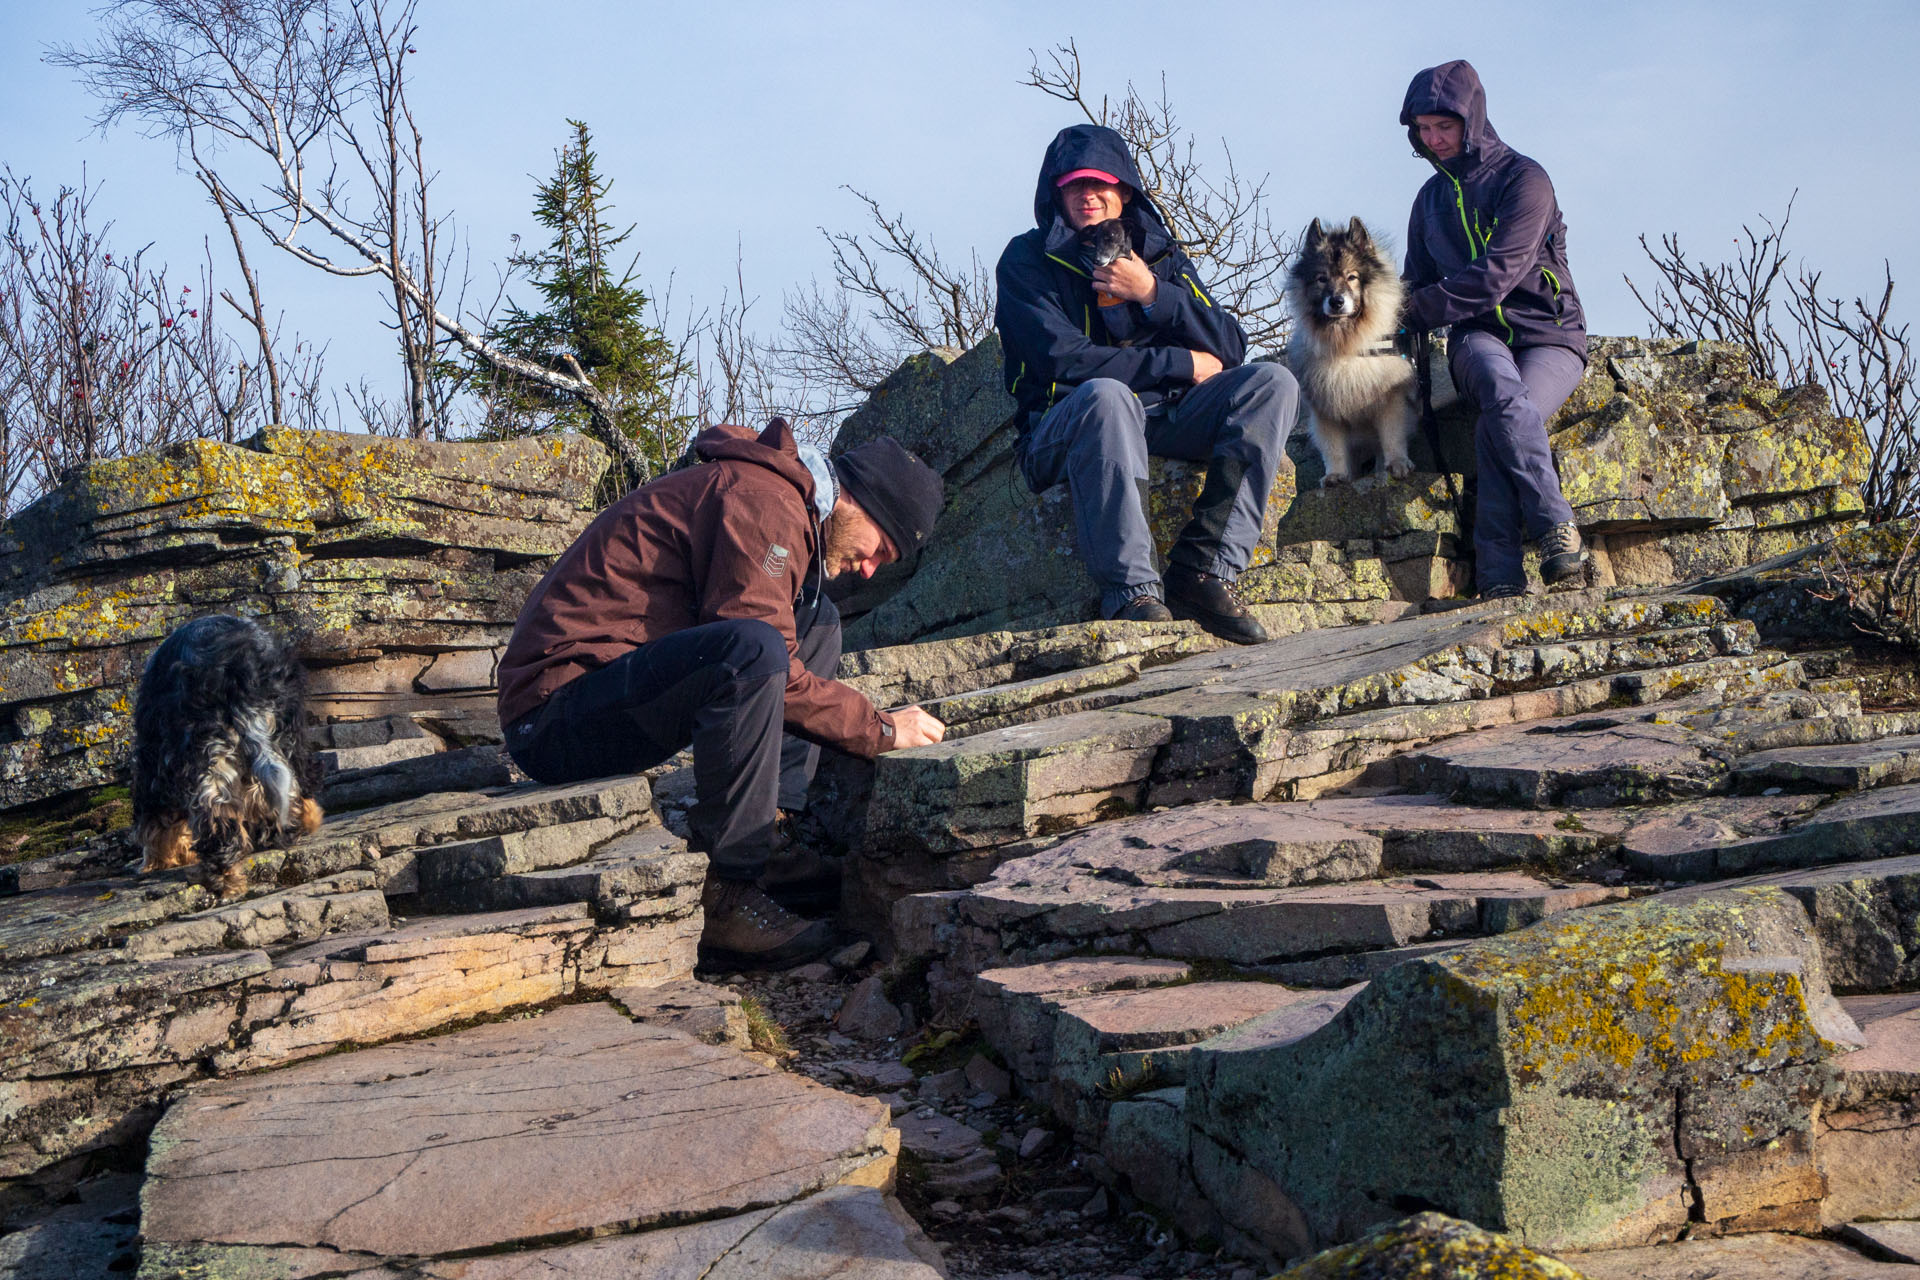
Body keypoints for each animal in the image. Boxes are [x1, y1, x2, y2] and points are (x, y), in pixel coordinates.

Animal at [130, 614, 322, 898]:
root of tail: (237, 668)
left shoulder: (155, 763)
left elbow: (155, 824)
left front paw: (156, 860)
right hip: (279, 728)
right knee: (285, 783)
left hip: (205, 748)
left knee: (216, 817)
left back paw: (222, 880)